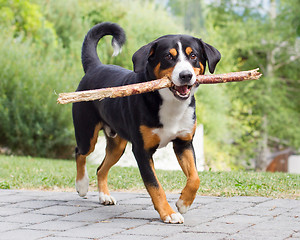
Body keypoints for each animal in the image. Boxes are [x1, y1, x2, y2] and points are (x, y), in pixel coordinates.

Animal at [72, 22, 220, 223]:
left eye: (193, 56)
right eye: (168, 56)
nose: (186, 75)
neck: (170, 104)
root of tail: (96, 67)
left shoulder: (184, 143)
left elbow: (195, 178)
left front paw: (184, 203)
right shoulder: (142, 150)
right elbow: (154, 185)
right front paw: (169, 213)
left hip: (117, 145)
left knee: (101, 169)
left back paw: (104, 196)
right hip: (87, 134)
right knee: (80, 153)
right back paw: (82, 185)